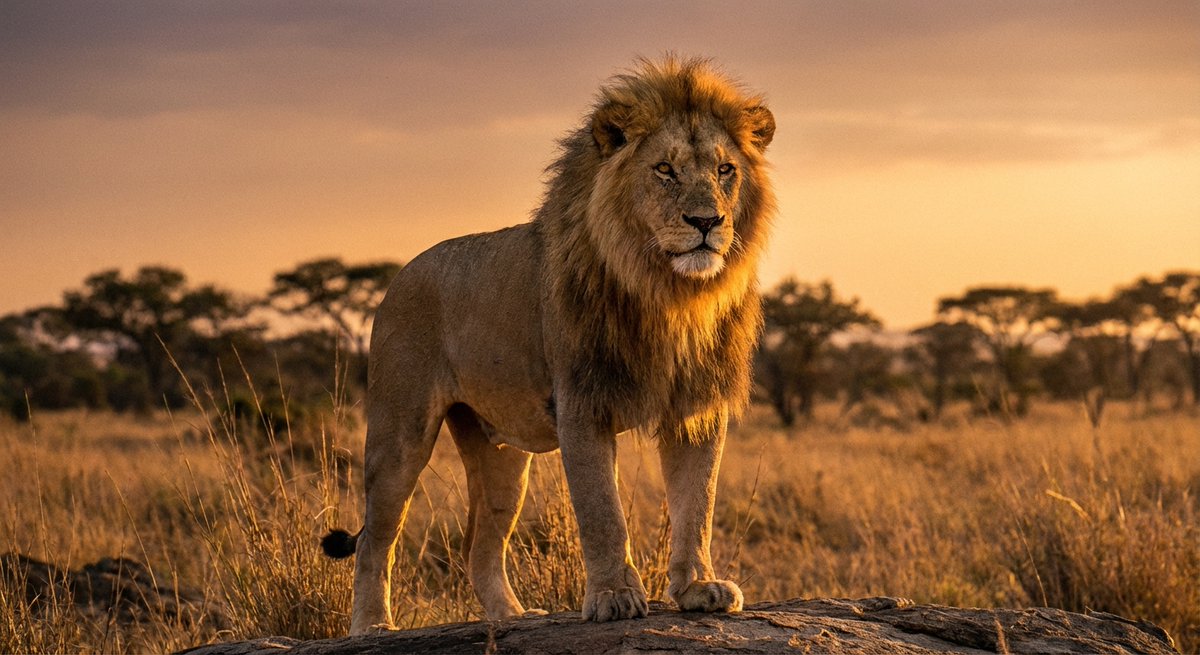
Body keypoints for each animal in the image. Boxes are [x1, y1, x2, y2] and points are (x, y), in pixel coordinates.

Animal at [322, 56, 776, 634]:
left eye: (724, 170)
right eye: (665, 170)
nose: (706, 222)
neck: (668, 293)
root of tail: (399, 275)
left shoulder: (696, 408)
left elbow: (698, 504)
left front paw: (699, 588)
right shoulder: (582, 403)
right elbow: (602, 511)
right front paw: (613, 596)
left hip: (501, 455)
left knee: (478, 546)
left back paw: (512, 618)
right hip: (399, 433)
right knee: (375, 539)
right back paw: (373, 626)